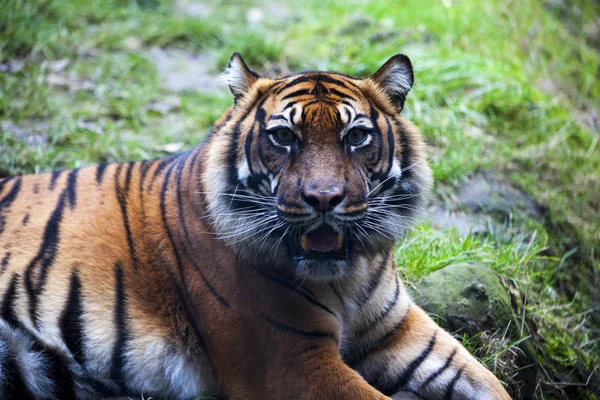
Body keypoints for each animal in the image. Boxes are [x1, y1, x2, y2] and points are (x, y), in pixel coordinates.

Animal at [0, 53, 510, 400]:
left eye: (356, 137)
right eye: (283, 137)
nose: (323, 198)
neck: (352, 274)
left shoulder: (399, 328)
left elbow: (488, 383)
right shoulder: (292, 361)